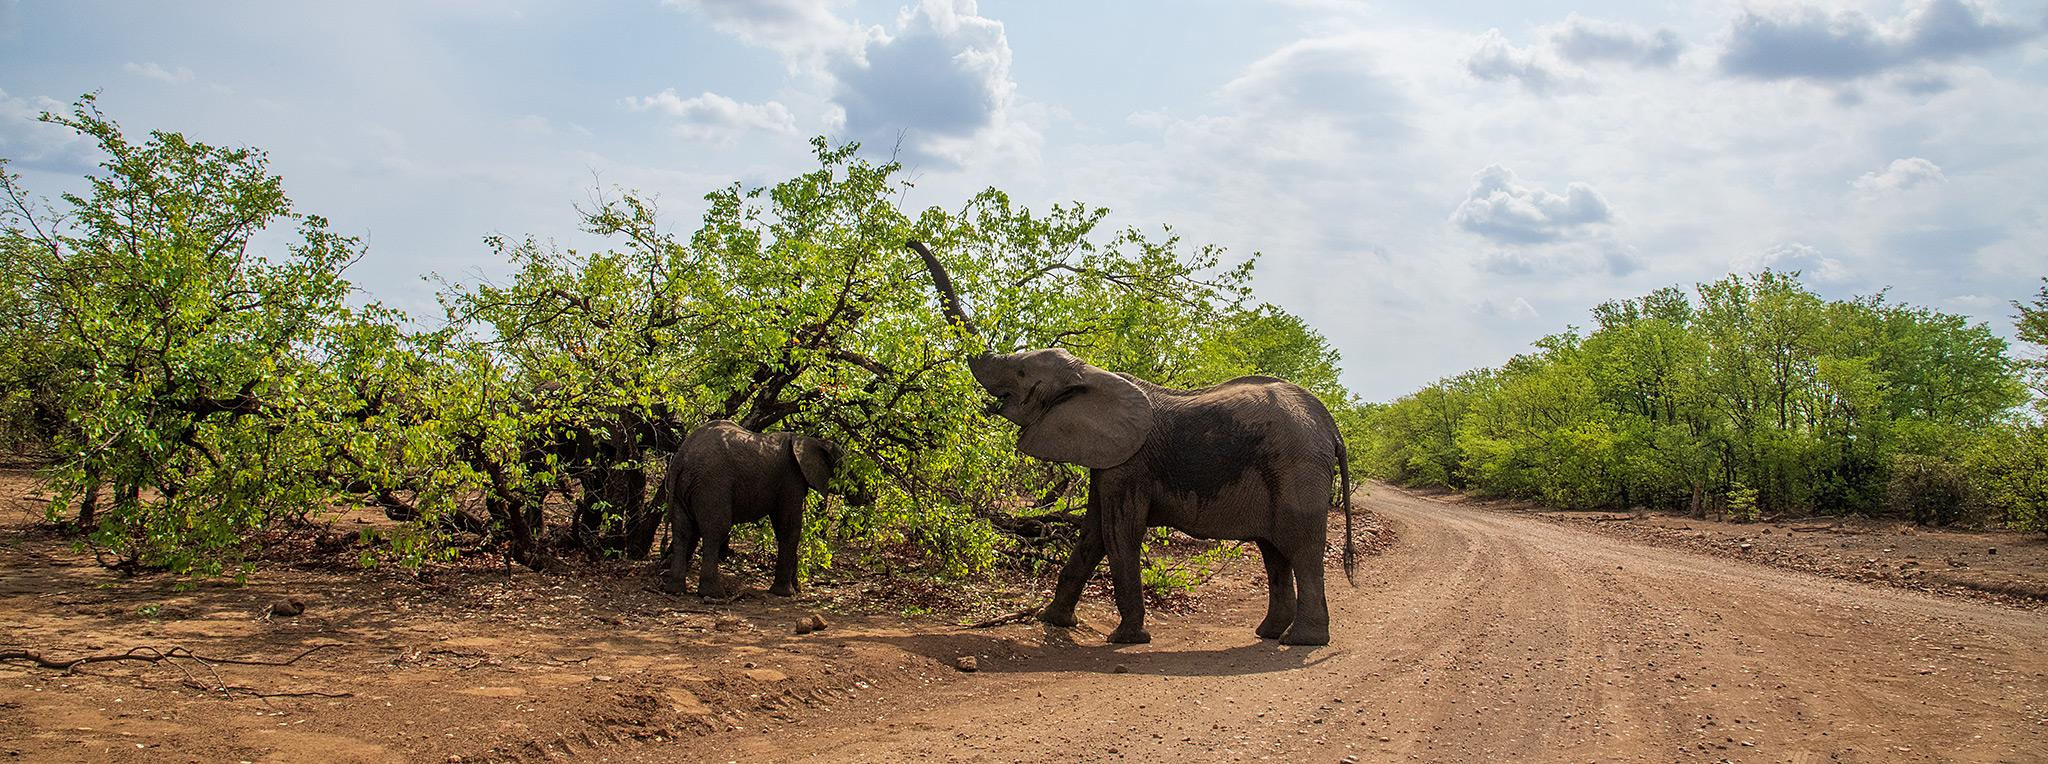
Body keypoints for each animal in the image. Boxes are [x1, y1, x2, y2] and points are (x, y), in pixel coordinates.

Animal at [660, 420, 863, 598]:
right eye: (848, 469)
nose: (863, 496)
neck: (811, 440)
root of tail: (681, 458)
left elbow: (781, 529)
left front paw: (795, 589)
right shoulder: (791, 479)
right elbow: (790, 527)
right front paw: (785, 593)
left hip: (681, 489)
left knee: (683, 531)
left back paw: (674, 590)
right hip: (712, 484)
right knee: (715, 531)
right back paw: (713, 594)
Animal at [907, 240, 1354, 646]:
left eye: (1019, 373)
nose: (911, 240)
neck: (1092, 374)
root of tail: (1331, 428)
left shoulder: (1129, 464)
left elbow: (1119, 532)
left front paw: (1125, 639)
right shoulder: (1107, 460)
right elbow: (1093, 533)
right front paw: (1055, 622)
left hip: (1297, 468)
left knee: (1302, 548)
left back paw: (1302, 641)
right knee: (1273, 552)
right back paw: (1269, 633)